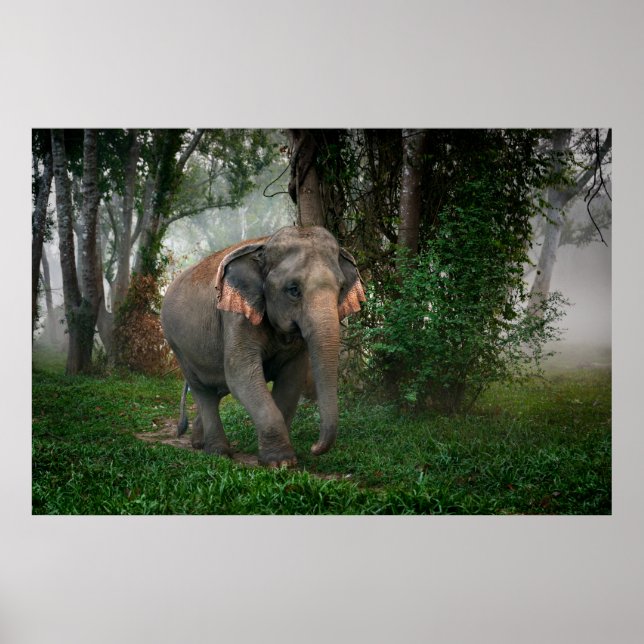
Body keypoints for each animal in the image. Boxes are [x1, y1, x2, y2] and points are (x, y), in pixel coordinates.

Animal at [160, 226, 366, 467]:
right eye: (293, 290)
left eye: (341, 288)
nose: (314, 448)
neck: (264, 245)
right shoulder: (235, 316)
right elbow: (240, 374)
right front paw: (280, 462)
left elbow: (291, 379)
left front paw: (283, 460)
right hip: (177, 344)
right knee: (203, 390)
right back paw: (218, 452)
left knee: (218, 388)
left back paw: (199, 443)